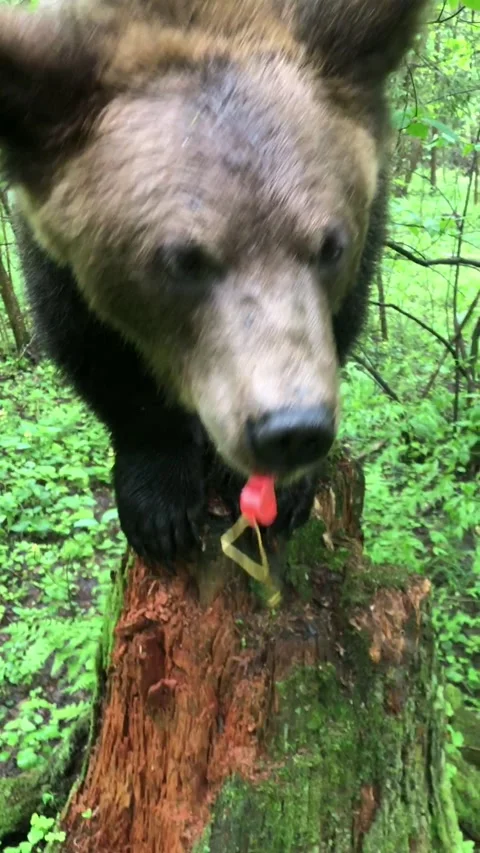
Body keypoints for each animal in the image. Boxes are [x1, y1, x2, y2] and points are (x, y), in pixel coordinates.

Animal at [0, 0, 429, 566]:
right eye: (184, 260)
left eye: (330, 246)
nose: (292, 430)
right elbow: (92, 345)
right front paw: (159, 505)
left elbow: (344, 316)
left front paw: (286, 493)